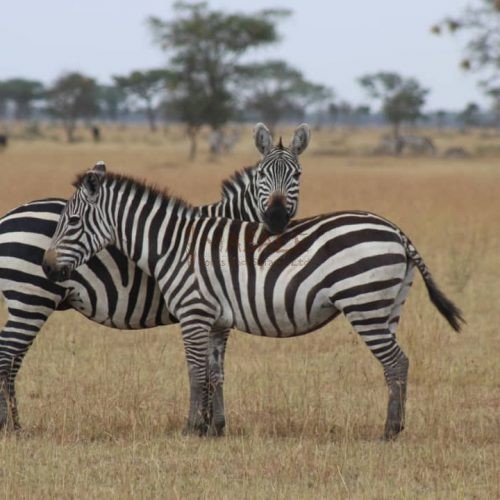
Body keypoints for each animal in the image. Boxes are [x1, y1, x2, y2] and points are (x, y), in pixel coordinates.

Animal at [0, 124, 310, 430]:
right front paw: (208, 423)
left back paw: (15, 423)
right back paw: (9, 426)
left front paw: (211, 423)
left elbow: (213, 369)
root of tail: (7, 217)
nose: (276, 218)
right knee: (7, 353)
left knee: (13, 357)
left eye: (297, 175)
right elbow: (209, 370)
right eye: (262, 176)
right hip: (32, 298)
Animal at [44, 162, 464, 440]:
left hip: (364, 305)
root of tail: (396, 231)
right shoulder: (215, 320)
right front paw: (214, 429)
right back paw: (397, 426)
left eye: (73, 222)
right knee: (401, 364)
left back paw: (390, 431)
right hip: (389, 307)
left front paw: (190, 428)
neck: (172, 246)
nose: (47, 267)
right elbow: (214, 373)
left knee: (394, 363)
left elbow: (195, 373)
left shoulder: (194, 313)